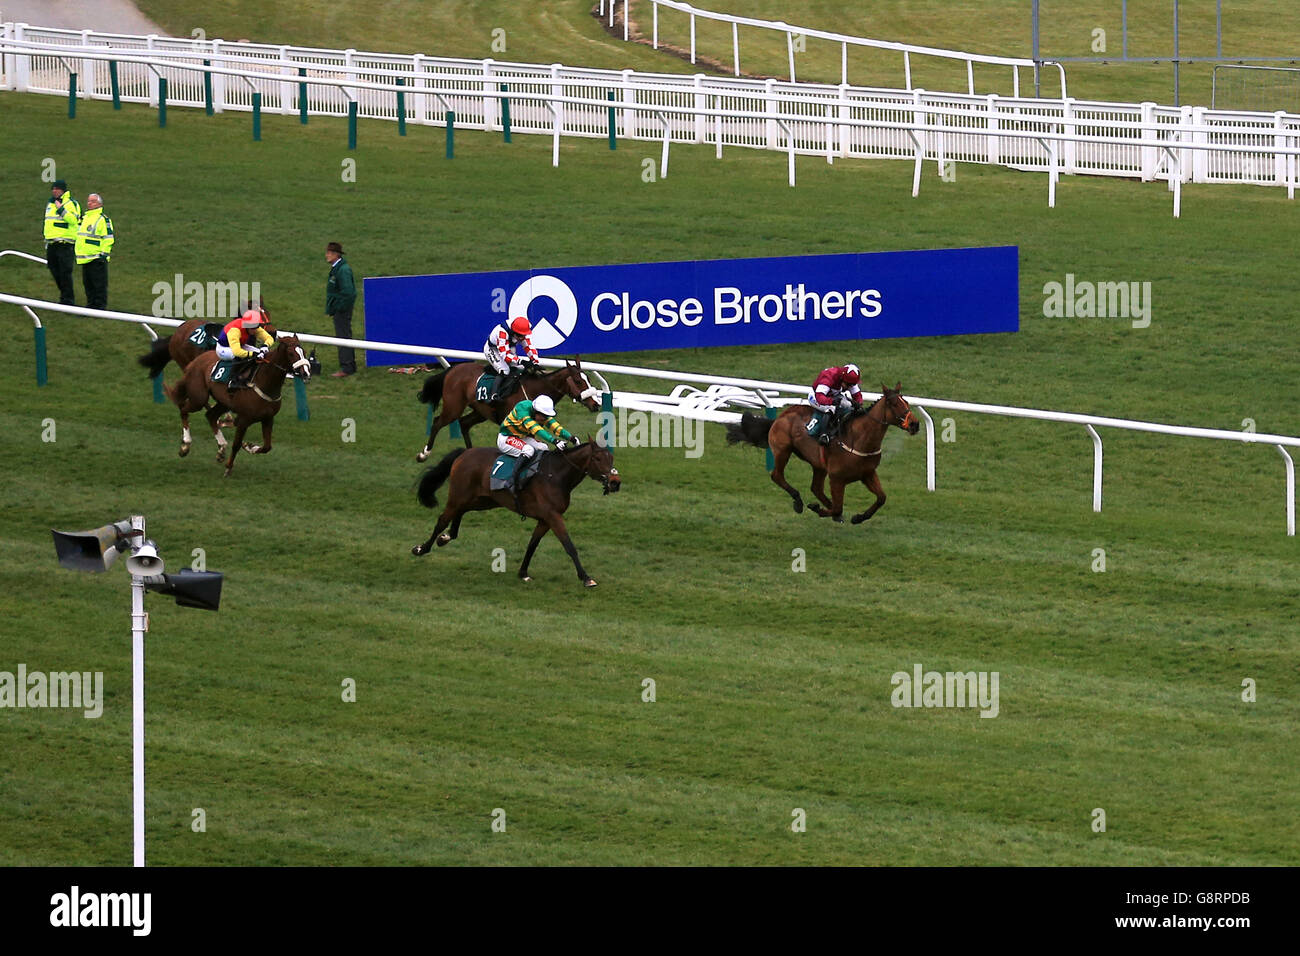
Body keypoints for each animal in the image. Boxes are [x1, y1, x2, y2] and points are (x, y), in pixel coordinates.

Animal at [165, 332, 312, 478]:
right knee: (184, 409)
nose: (306, 373)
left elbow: (267, 446)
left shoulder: (268, 418)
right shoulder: (244, 419)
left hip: (223, 403)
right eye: (291, 354)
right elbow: (236, 444)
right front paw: (228, 467)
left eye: (303, 352)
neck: (265, 382)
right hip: (199, 398)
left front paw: (249, 446)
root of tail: (195, 361)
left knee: (210, 415)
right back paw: (185, 445)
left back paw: (221, 448)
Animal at [413, 358, 600, 463]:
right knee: (437, 423)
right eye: (578, 381)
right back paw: (424, 453)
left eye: (589, 380)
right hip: (454, 407)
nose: (596, 405)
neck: (535, 389)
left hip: (480, 411)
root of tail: (453, 369)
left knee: (464, 423)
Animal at [413, 439, 621, 587]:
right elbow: (569, 546)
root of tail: (465, 452)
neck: (556, 475)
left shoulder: (545, 519)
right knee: (442, 519)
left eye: (611, 458)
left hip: (483, 500)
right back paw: (422, 548)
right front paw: (586, 577)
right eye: (598, 459)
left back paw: (446, 537)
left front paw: (523, 573)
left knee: (460, 512)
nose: (615, 482)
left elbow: (532, 544)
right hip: (459, 496)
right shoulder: (553, 516)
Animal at [728, 385, 920, 528]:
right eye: (893, 403)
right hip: (783, 450)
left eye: (906, 401)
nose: (915, 424)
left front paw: (858, 517)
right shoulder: (837, 479)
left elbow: (881, 498)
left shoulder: (868, 474)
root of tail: (780, 417)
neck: (859, 439)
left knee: (816, 488)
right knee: (777, 476)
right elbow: (838, 507)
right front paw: (817, 508)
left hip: (818, 465)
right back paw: (798, 502)